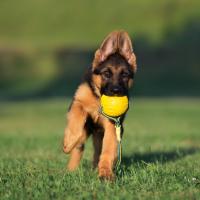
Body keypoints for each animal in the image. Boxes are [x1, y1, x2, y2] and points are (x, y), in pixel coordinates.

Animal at [63, 30, 137, 180]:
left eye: (125, 75)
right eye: (106, 74)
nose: (116, 91)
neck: (99, 99)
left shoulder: (113, 126)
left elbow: (107, 150)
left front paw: (105, 172)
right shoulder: (77, 103)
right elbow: (77, 119)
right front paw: (69, 141)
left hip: (101, 134)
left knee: (98, 151)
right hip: (87, 132)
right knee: (79, 146)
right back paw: (70, 170)